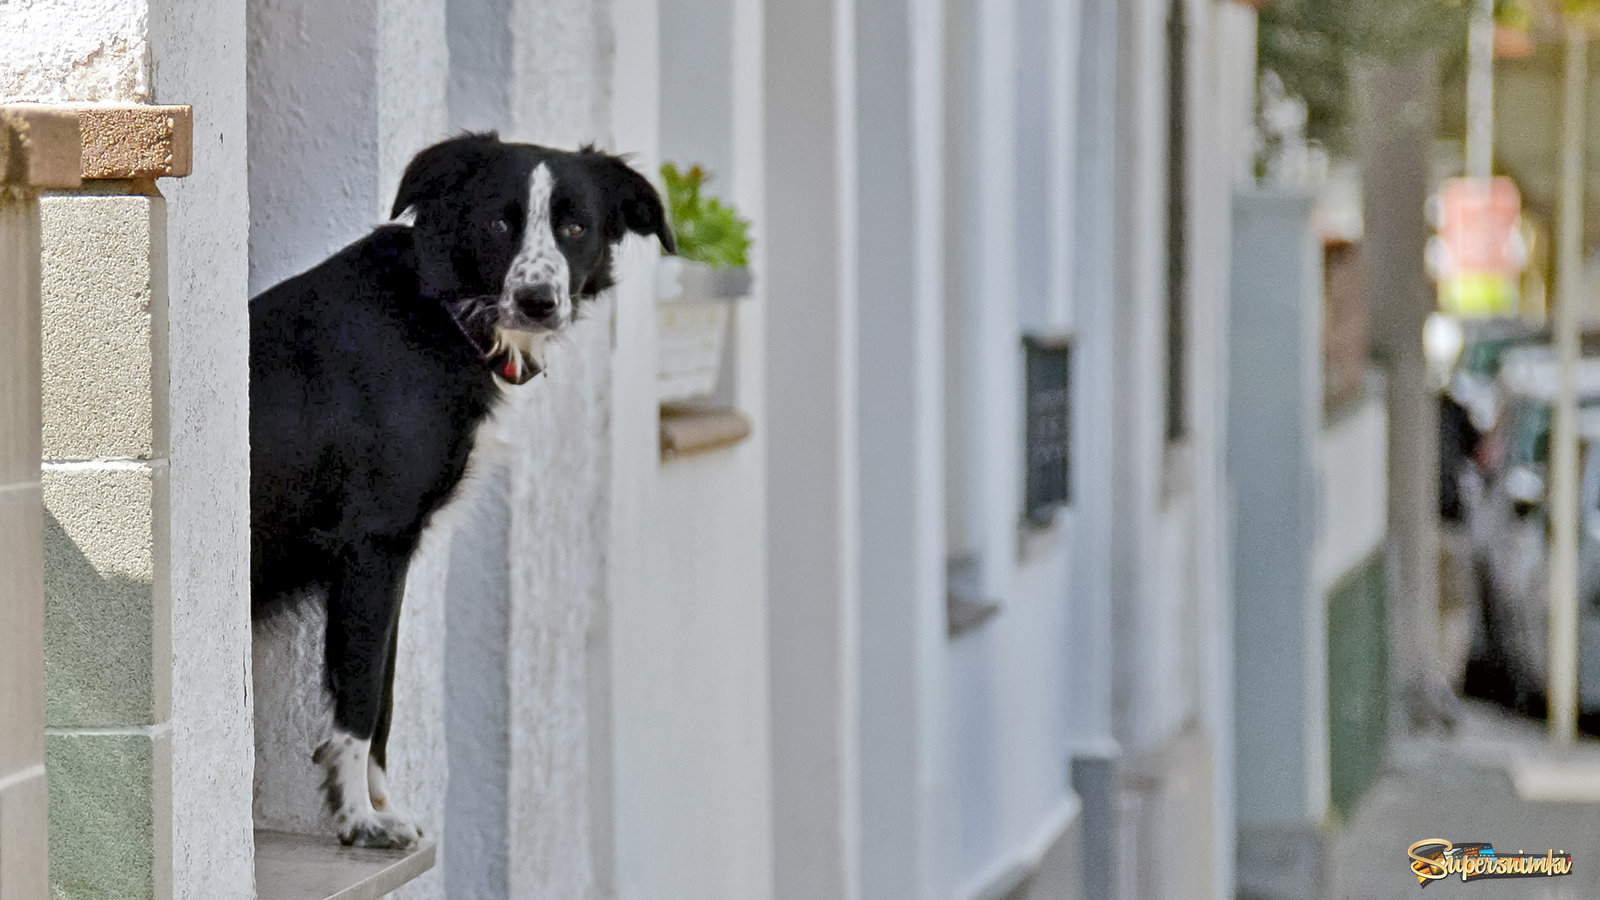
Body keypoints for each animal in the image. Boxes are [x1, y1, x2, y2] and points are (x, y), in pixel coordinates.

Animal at [249, 131, 675, 839]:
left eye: (575, 227)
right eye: (498, 223)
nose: (537, 301)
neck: (440, 312)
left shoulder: (386, 558)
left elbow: (386, 695)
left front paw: (381, 803)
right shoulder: (377, 543)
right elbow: (362, 694)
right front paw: (360, 820)